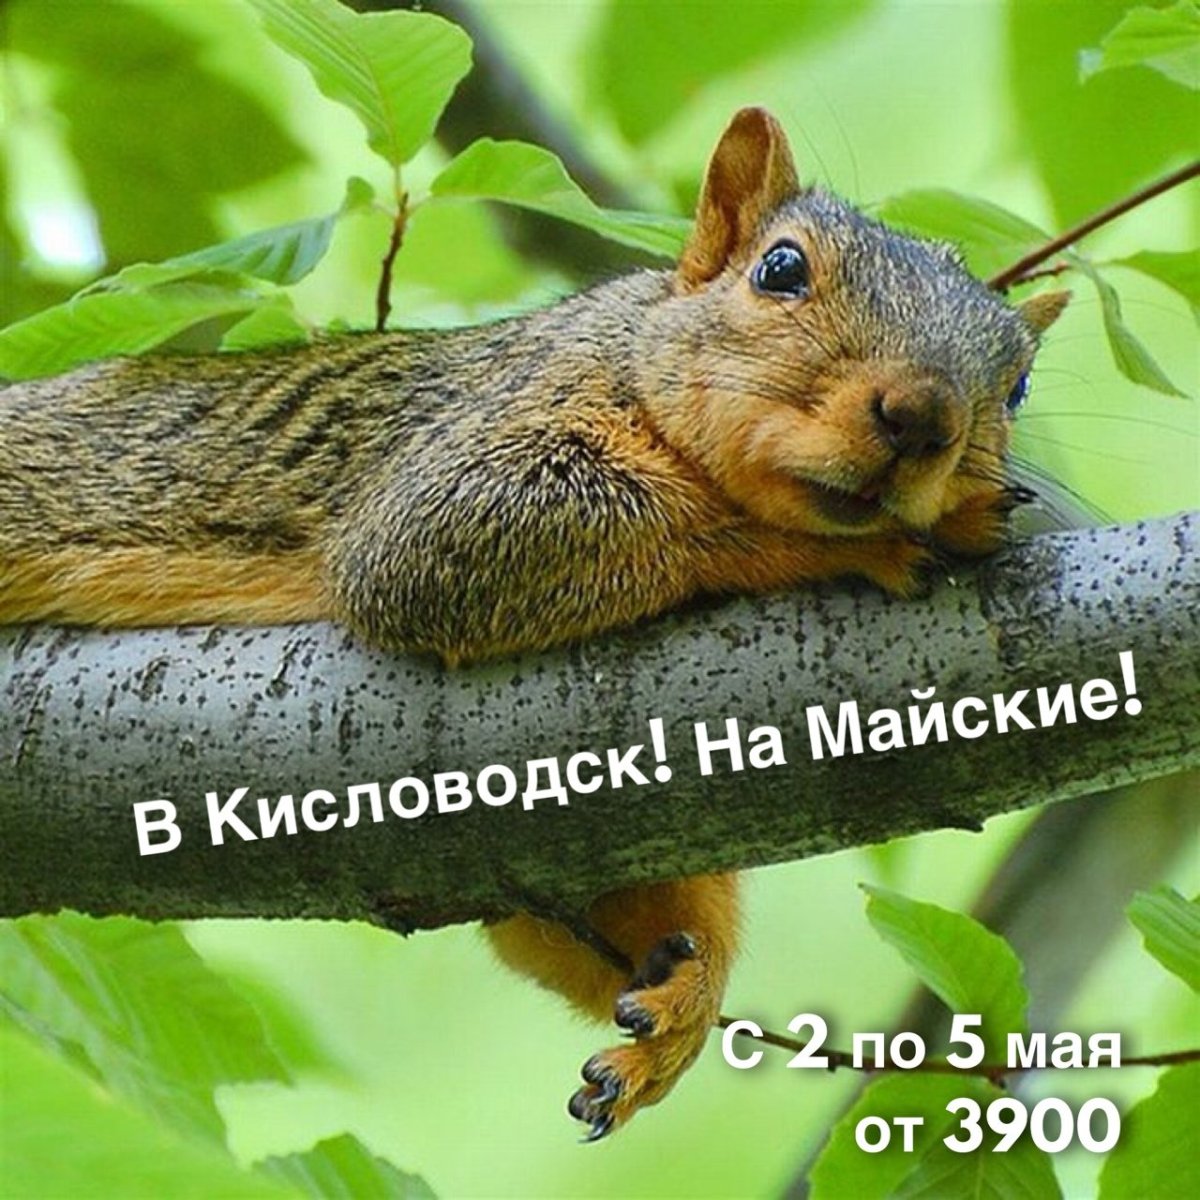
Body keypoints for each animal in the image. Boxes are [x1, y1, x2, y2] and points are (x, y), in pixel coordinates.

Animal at [0, 108, 1067, 1139]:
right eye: (781, 270)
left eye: (1018, 385)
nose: (923, 415)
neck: (627, 351)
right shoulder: (451, 477)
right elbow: (527, 540)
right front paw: (876, 540)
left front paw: (679, 1009)